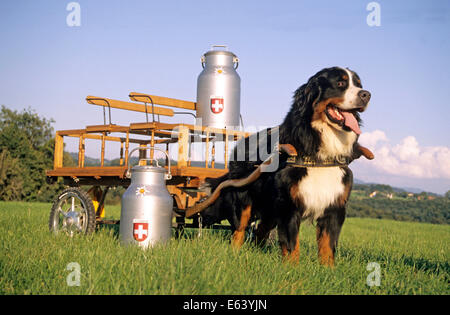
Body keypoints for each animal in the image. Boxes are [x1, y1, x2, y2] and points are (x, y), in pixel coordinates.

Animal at [197, 66, 370, 266]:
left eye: (359, 84)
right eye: (341, 83)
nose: (366, 94)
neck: (320, 152)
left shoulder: (334, 205)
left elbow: (328, 245)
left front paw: (328, 270)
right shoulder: (289, 205)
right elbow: (292, 243)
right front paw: (292, 269)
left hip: (270, 208)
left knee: (260, 232)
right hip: (244, 199)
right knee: (239, 230)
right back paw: (235, 255)